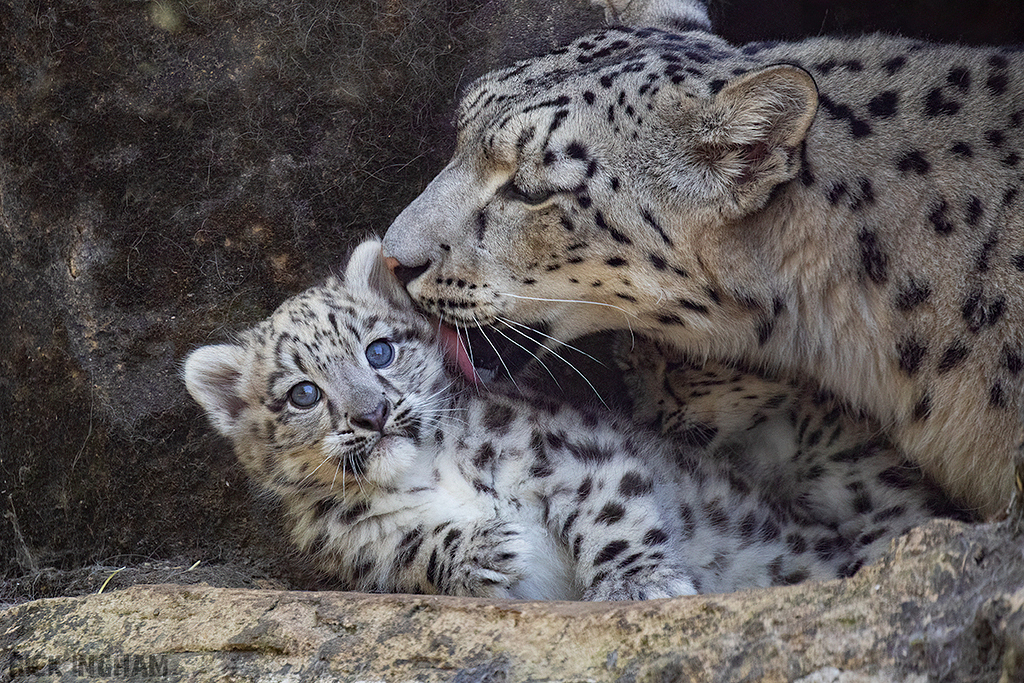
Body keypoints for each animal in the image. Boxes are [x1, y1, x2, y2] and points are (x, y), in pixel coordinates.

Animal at [182, 239, 958, 600]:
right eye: (303, 394)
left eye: (379, 350)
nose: (372, 414)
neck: (433, 471)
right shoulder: (361, 548)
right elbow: (415, 550)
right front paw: (486, 549)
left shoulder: (570, 454)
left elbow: (611, 516)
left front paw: (639, 585)